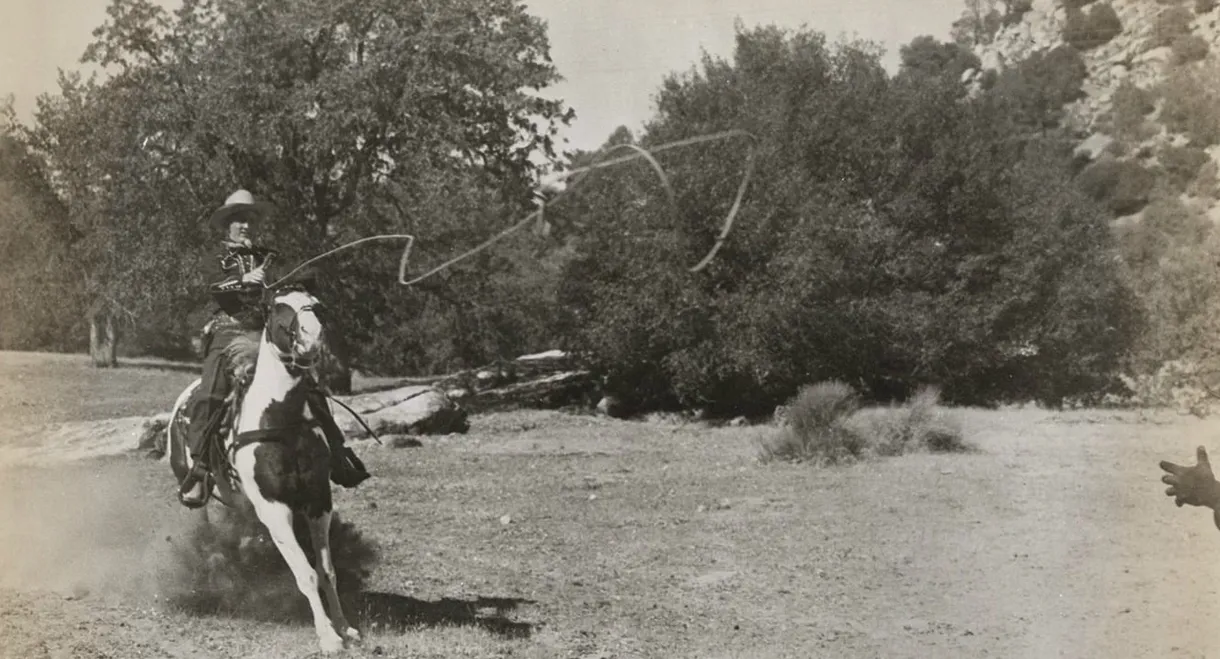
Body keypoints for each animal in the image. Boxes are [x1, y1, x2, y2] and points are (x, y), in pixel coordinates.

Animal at [165, 286, 356, 654]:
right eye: (278, 310)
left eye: (317, 306)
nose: (313, 338)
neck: (281, 419)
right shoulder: (274, 508)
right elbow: (306, 573)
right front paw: (328, 637)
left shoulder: (318, 501)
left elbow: (326, 570)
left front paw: (344, 627)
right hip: (197, 490)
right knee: (206, 523)